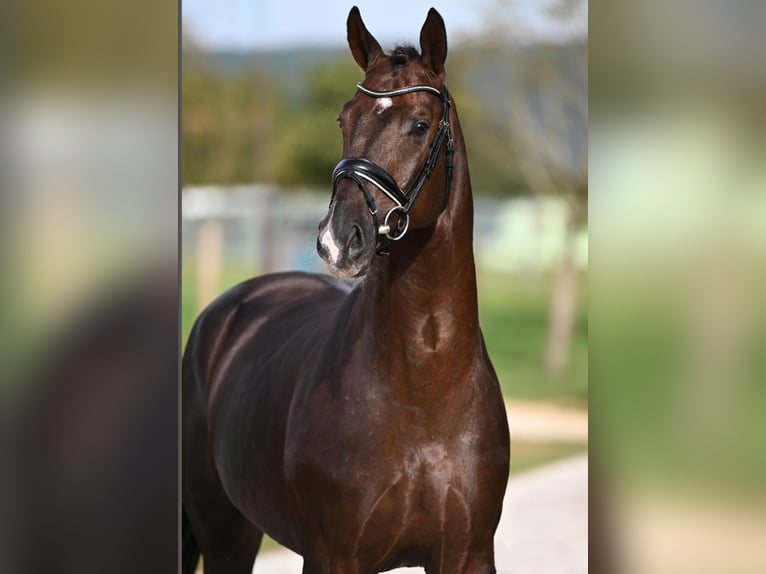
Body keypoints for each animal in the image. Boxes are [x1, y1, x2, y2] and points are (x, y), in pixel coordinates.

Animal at [183, 7, 512, 574]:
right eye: (344, 119)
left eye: (419, 124)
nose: (339, 240)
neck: (423, 389)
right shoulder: (333, 556)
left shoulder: (469, 555)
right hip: (220, 528)